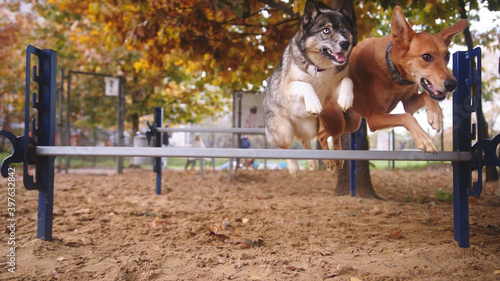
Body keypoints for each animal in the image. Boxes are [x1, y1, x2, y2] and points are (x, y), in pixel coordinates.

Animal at [264, 0, 354, 175]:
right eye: (326, 30)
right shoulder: (290, 86)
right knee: (285, 147)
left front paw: (346, 100)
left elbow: (348, 80)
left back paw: (313, 162)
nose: (345, 44)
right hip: (283, 131)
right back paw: (293, 167)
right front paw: (314, 104)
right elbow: (306, 85)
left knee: (305, 141)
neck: (322, 69)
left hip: (311, 127)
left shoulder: (333, 89)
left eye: (344, 29)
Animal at [320, 6, 468, 168]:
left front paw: (436, 115)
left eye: (447, 56)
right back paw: (328, 160)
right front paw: (424, 139)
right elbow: (406, 116)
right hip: (336, 121)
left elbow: (424, 97)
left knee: (335, 136)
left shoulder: (409, 102)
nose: (452, 84)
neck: (394, 74)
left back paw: (339, 158)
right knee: (322, 135)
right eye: (427, 56)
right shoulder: (374, 117)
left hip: (351, 122)